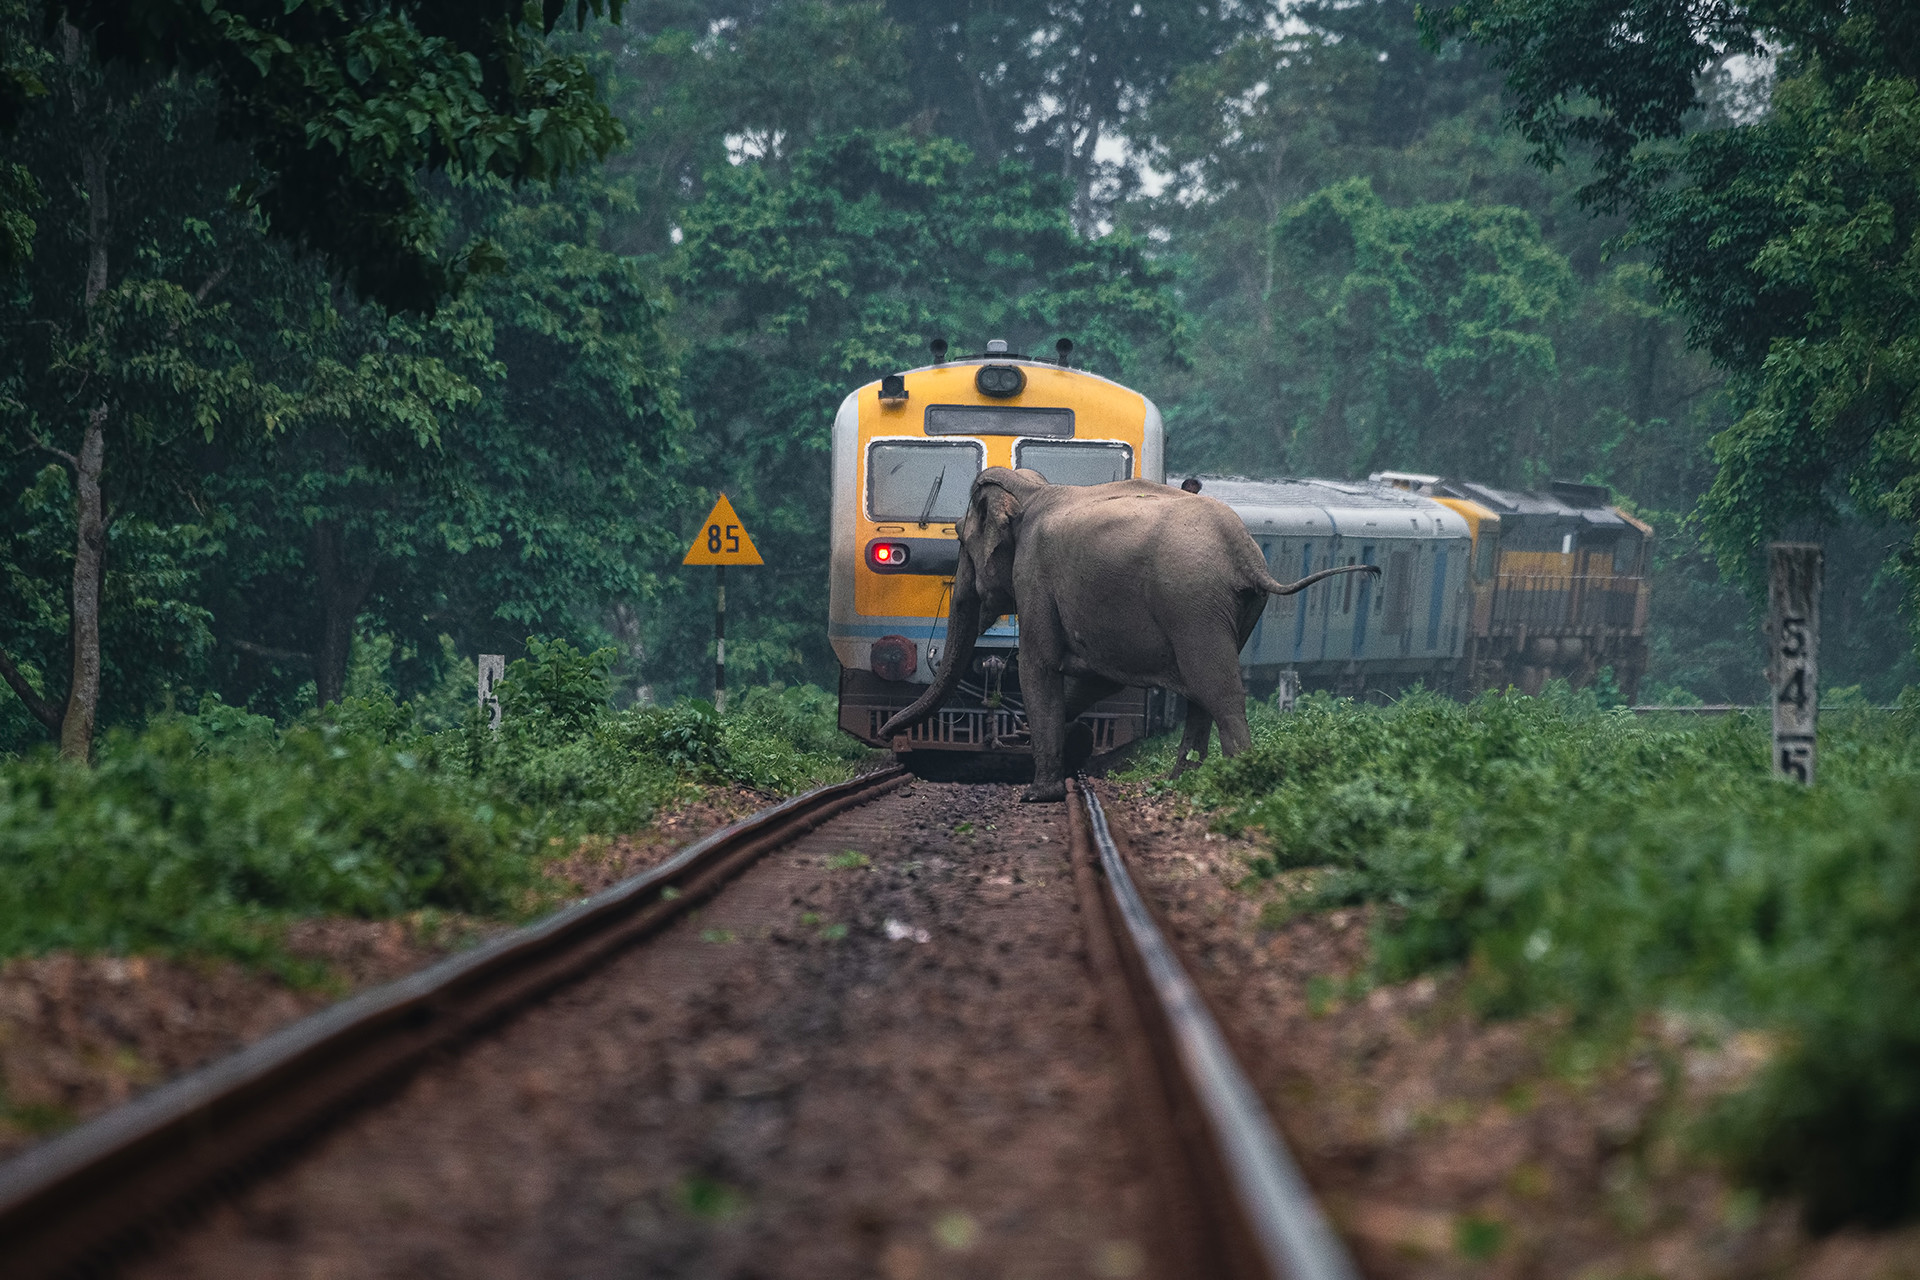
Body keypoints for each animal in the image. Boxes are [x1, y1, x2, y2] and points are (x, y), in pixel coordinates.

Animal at [879, 466, 1380, 801]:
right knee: (1203, 692)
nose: (886, 733)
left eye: (961, 540)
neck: (1032, 490)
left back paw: (1237, 779)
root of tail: (1246, 554)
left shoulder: (1035, 576)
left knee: (1216, 688)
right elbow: (1096, 679)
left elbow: (1039, 667)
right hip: (1241, 607)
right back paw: (1180, 779)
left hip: (1191, 600)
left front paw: (1038, 794)